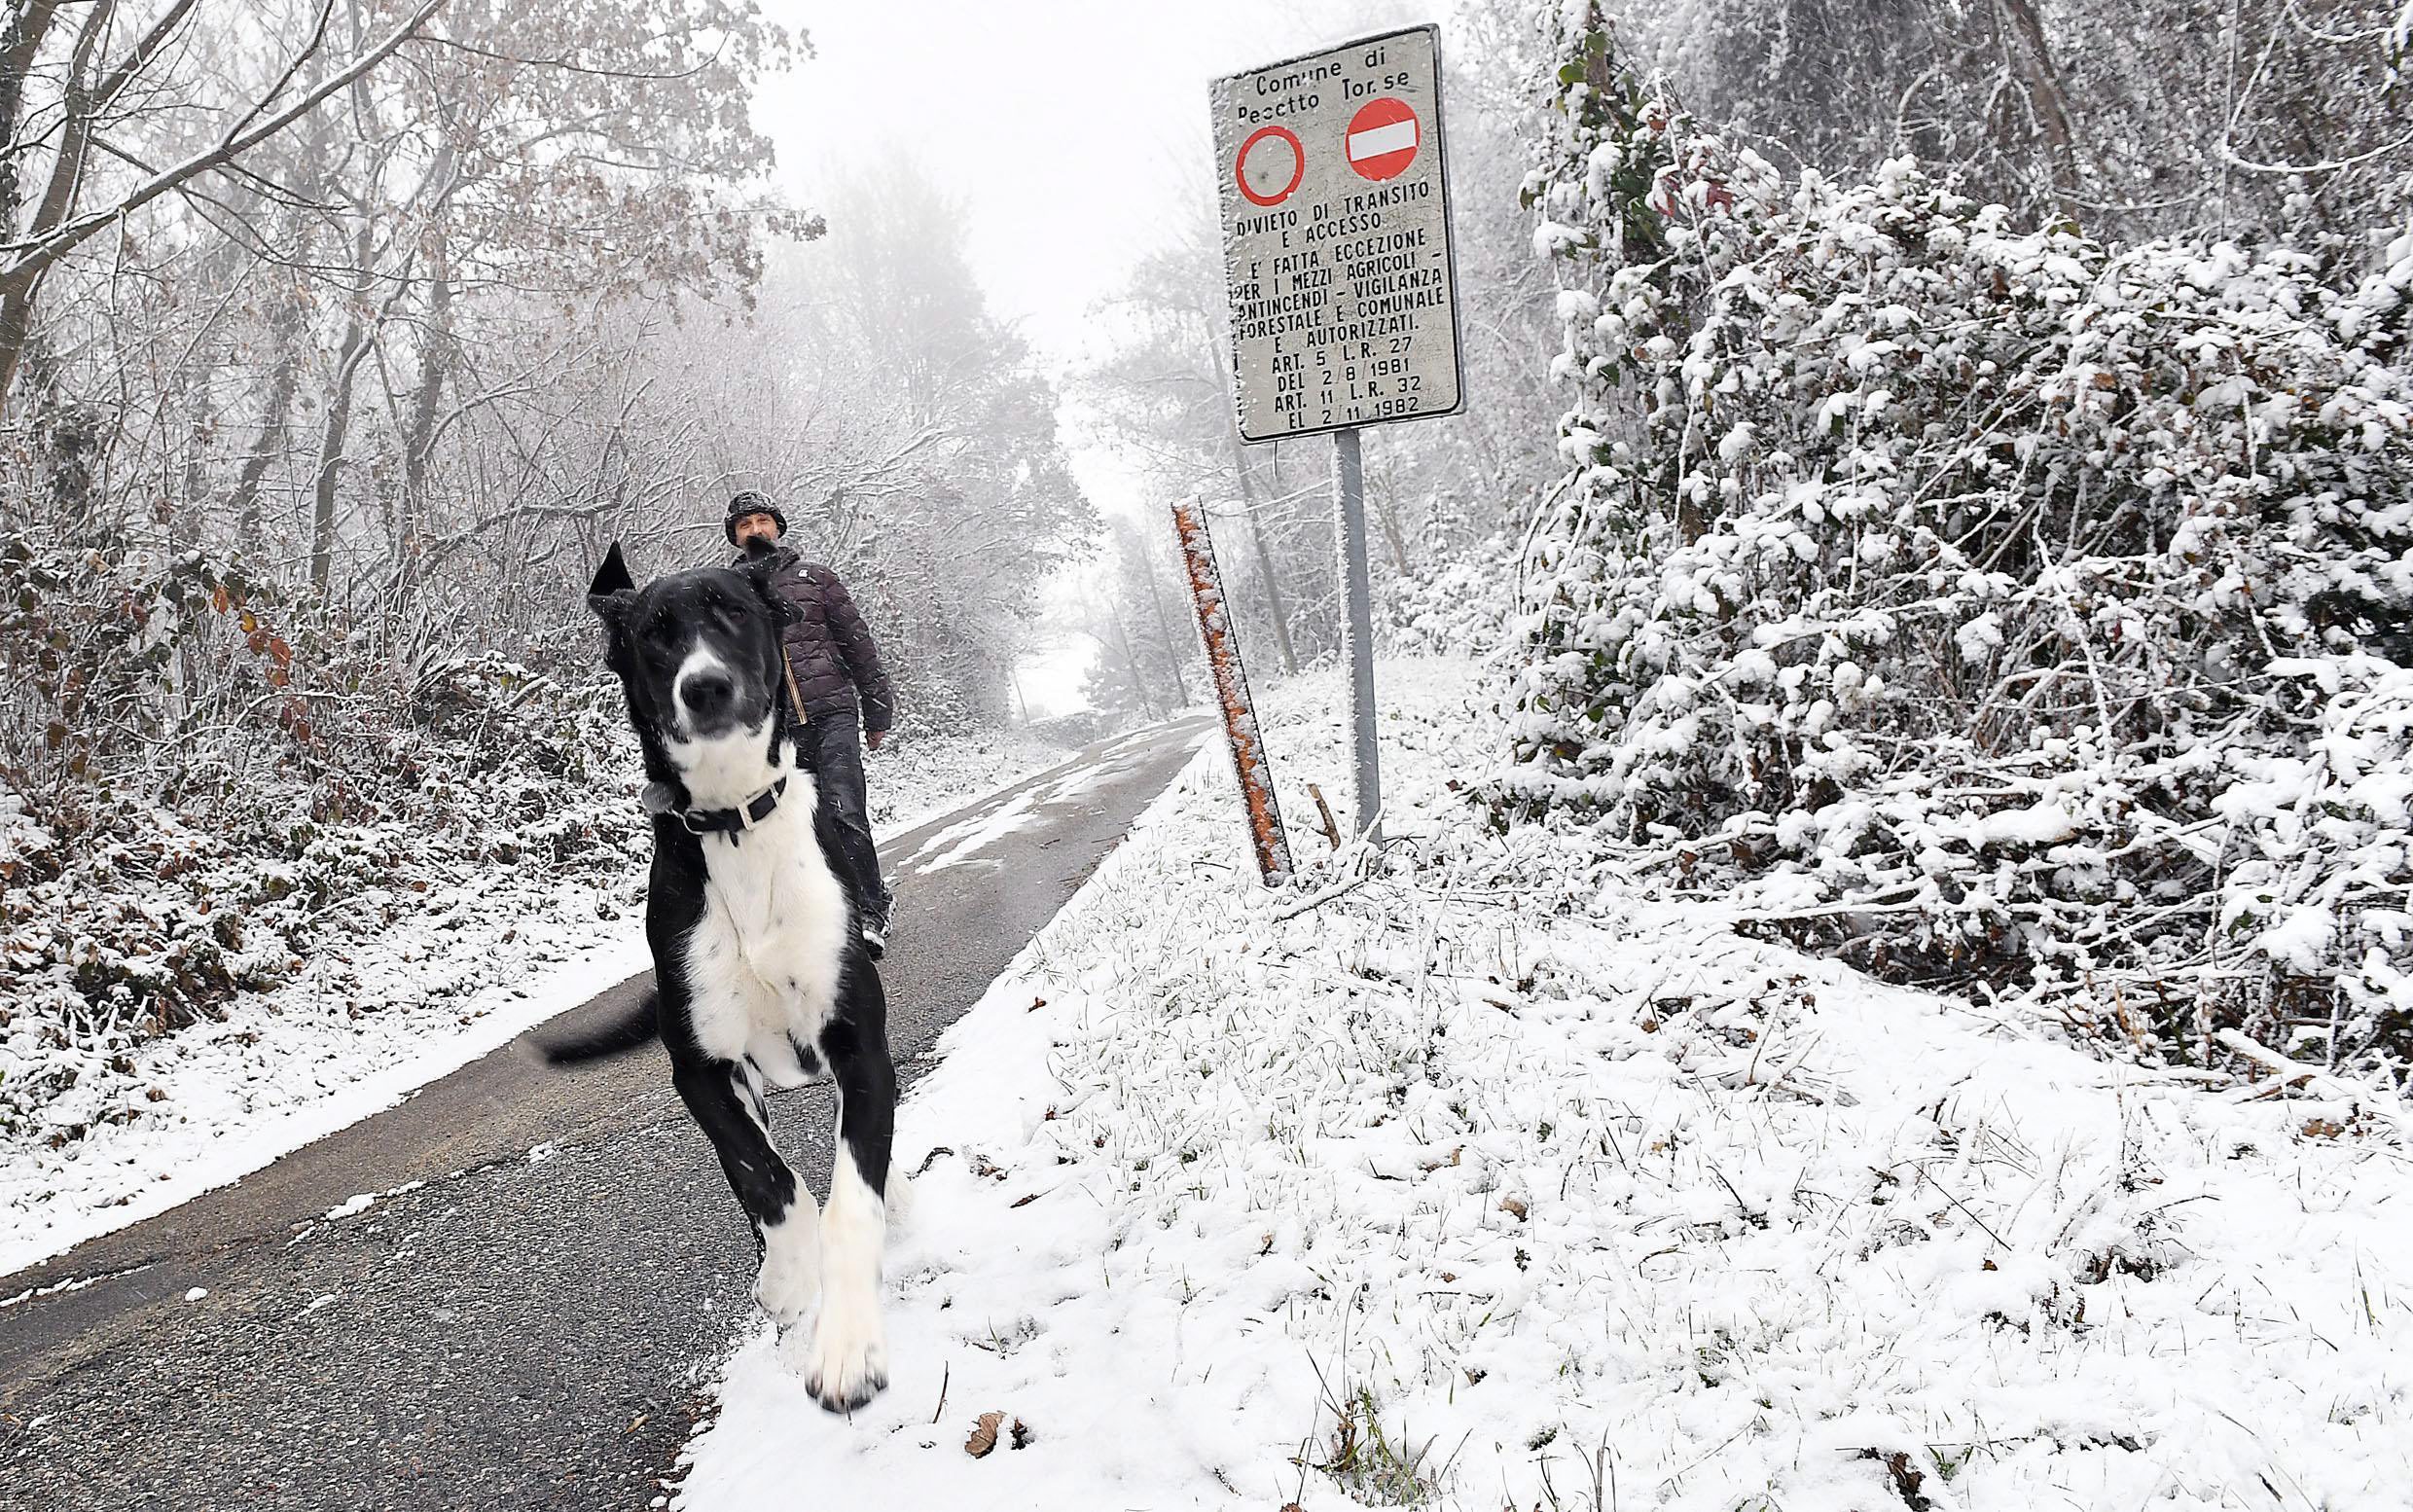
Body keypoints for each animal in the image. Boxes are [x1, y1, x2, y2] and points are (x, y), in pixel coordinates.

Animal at [538, 547, 897, 1418]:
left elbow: (851, 1200)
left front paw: (848, 1348)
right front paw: (791, 1282)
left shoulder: (858, 1044)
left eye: (733, 610)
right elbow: (769, 1181)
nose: (703, 686)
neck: (736, 821)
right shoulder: (702, 1072)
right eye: (653, 635)